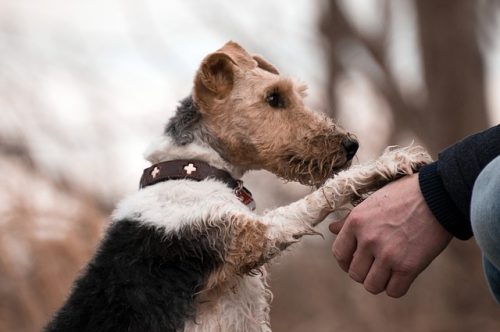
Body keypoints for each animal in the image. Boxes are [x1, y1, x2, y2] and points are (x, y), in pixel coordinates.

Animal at [45, 42, 432, 332]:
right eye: (273, 98)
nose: (350, 144)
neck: (193, 170)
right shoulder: (250, 236)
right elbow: (320, 196)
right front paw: (392, 163)